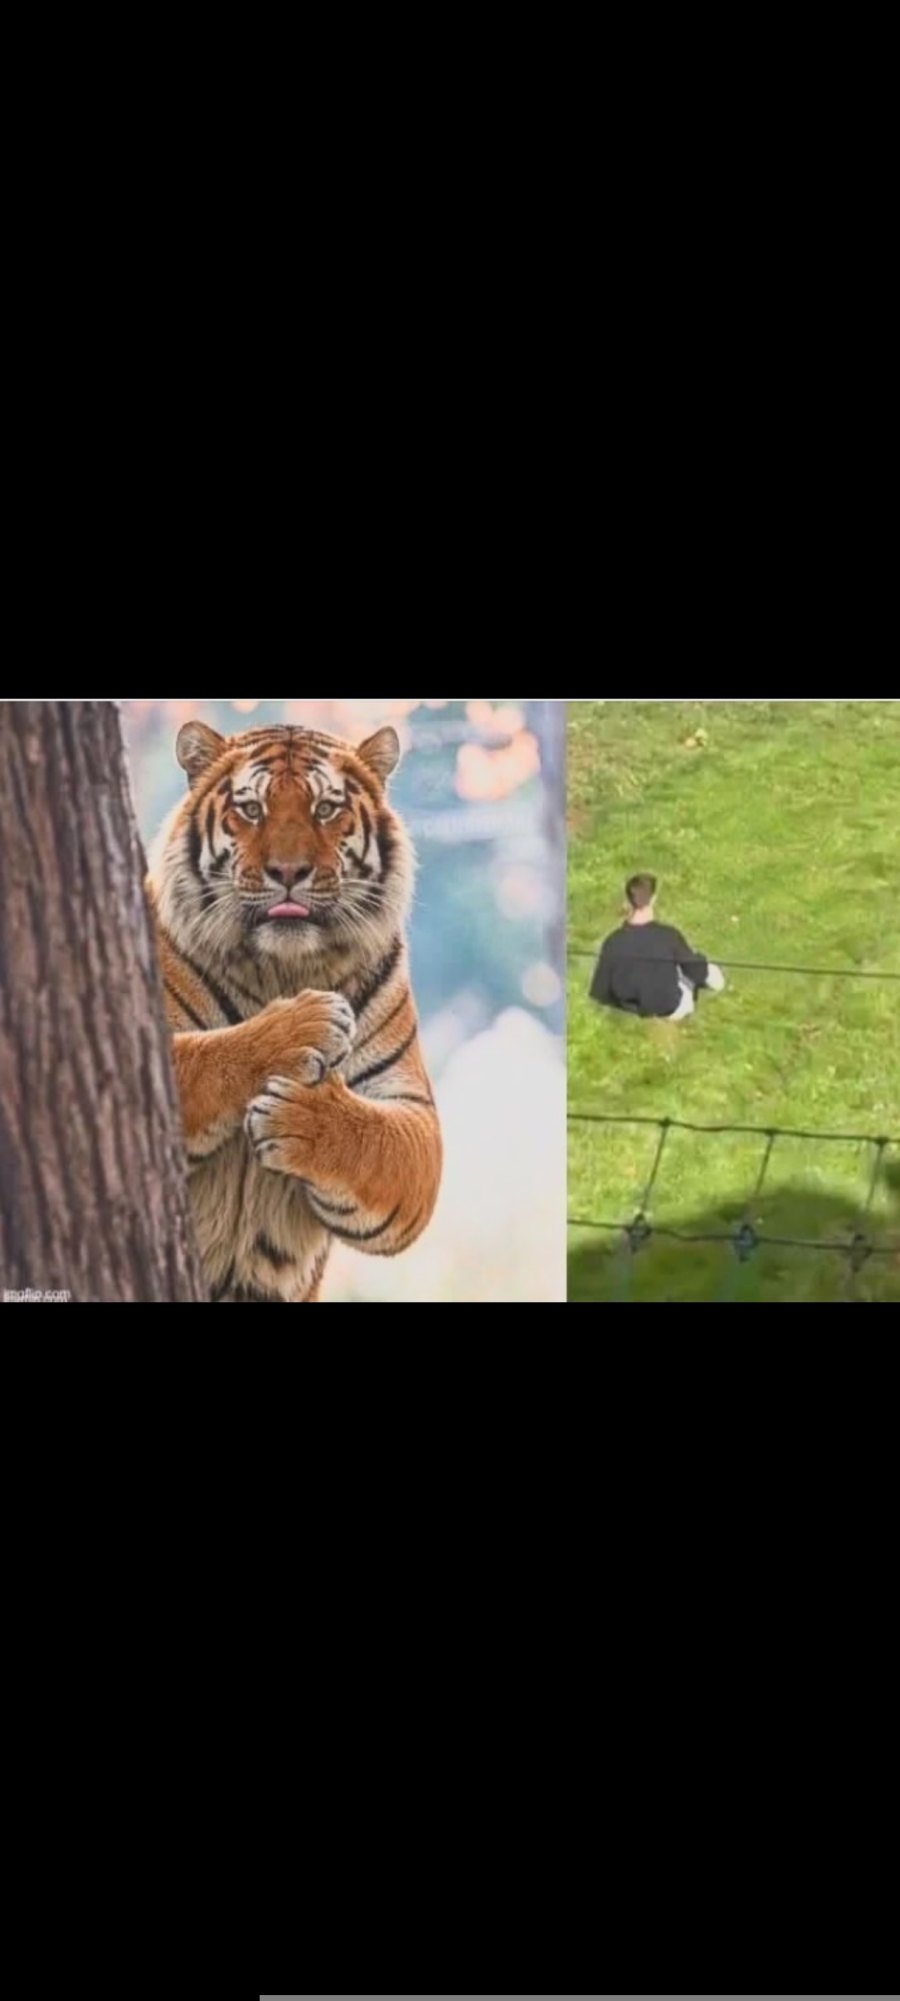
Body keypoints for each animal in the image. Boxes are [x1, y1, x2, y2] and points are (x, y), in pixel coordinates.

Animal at [147, 717, 443, 1303]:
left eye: (325, 808)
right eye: (251, 809)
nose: (288, 871)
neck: (283, 968)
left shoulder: (412, 1110)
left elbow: (379, 1143)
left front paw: (301, 1119)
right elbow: (207, 1056)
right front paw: (306, 1023)